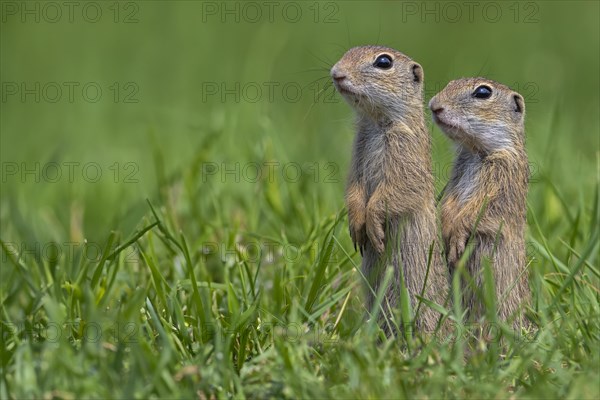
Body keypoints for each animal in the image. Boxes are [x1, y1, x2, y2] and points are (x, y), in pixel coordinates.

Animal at [330, 46, 448, 334]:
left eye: (384, 62)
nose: (336, 73)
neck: (376, 123)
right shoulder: (358, 153)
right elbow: (355, 187)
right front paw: (356, 225)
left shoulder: (406, 153)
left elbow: (398, 190)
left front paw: (373, 225)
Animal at [428, 78, 532, 328]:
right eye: (450, 82)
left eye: (483, 92)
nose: (434, 106)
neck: (476, 150)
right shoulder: (456, 175)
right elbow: (449, 203)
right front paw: (445, 226)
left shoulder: (502, 180)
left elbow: (477, 213)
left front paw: (456, 237)